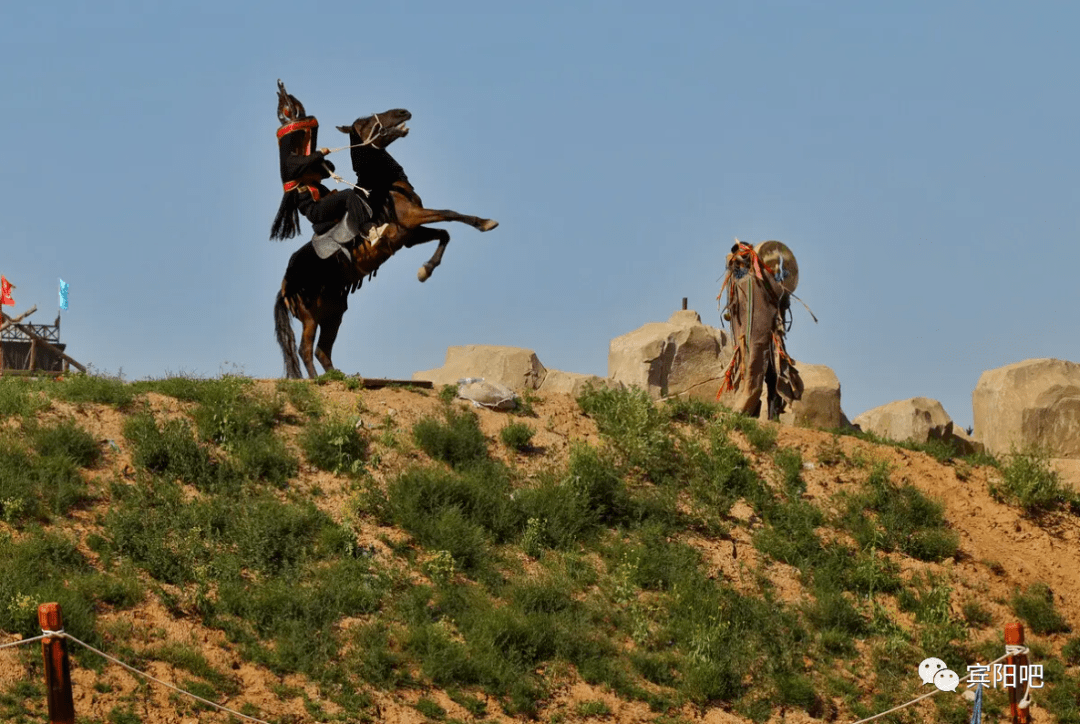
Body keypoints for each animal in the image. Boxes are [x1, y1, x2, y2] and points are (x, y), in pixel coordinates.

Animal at [276, 109, 498, 380]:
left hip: (333, 313)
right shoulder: (413, 217)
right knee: (305, 349)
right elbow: (450, 214)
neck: (384, 187)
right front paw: (485, 223)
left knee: (321, 350)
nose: (402, 112)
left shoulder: (409, 234)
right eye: (365, 122)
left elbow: (444, 234)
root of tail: (285, 286)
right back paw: (318, 380)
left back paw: (339, 376)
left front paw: (425, 271)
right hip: (311, 318)